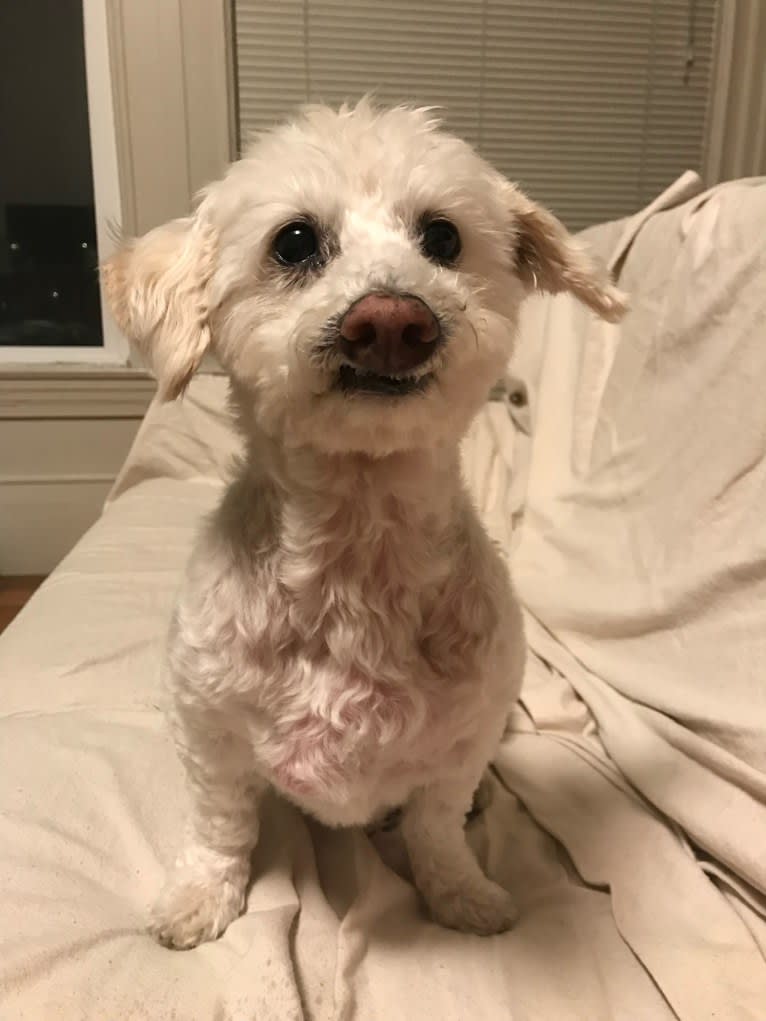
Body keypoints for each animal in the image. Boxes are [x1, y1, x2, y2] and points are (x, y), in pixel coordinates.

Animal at [103, 97, 629, 947]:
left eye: (443, 237)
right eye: (293, 241)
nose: (391, 320)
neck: (358, 544)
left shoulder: (462, 742)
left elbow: (437, 827)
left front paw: (462, 894)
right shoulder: (207, 725)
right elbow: (220, 825)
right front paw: (201, 895)